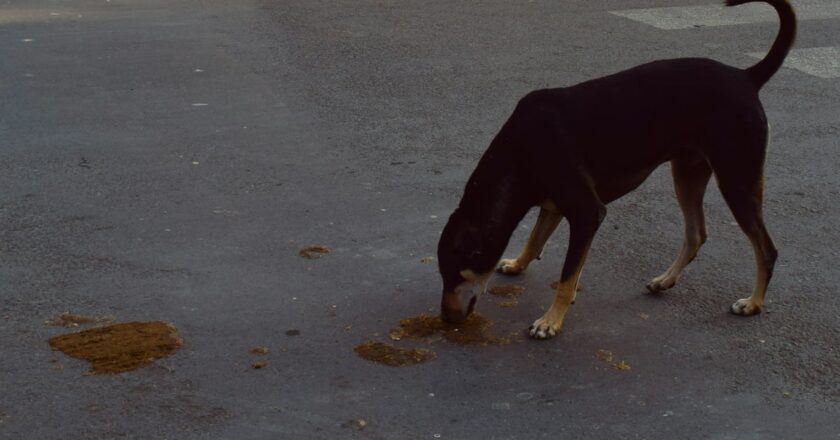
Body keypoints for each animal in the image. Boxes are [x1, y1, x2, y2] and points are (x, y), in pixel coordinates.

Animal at [436, 0, 796, 340]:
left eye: (453, 274)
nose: (445, 319)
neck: (521, 148)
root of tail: (745, 76)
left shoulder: (587, 212)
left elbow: (566, 275)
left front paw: (551, 321)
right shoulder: (556, 206)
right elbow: (538, 241)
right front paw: (519, 263)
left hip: (737, 179)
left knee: (766, 249)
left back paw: (753, 303)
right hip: (688, 174)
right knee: (696, 234)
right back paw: (665, 280)